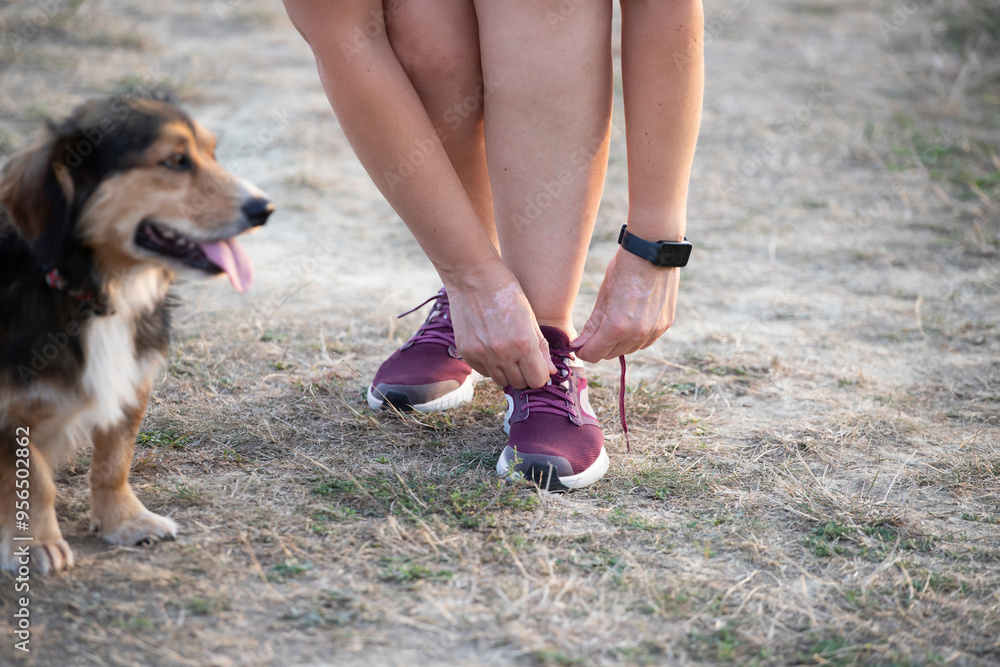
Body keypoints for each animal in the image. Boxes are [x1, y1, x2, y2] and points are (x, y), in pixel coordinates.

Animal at [0, 95, 274, 576]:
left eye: (212, 153)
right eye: (176, 160)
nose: (265, 209)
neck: (96, 292)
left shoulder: (131, 380)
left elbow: (114, 461)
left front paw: (124, 521)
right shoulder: (7, 411)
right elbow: (31, 480)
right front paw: (35, 545)